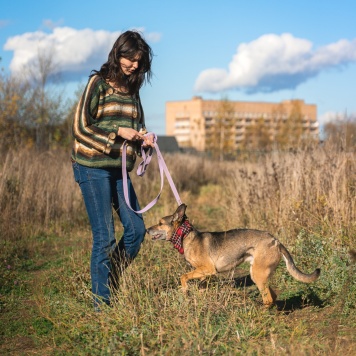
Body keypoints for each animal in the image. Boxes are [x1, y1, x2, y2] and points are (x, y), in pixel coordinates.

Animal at [146, 203, 322, 306]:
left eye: (160, 223)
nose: (147, 229)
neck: (185, 236)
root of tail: (276, 241)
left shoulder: (208, 269)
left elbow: (183, 277)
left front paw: (185, 291)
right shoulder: (205, 274)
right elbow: (201, 287)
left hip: (258, 274)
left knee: (269, 299)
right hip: (258, 273)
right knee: (273, 296)